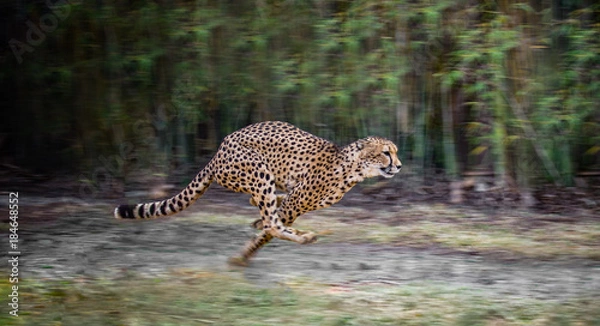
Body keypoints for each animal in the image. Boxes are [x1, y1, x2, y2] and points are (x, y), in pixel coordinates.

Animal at [114, 121, 400, 266]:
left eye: (395, 152)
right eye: (386, 152)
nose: (398, 166)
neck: (353, 169)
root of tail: (219, 149)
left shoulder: (295, 200)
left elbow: (271, 214)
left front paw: (254, 229)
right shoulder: (296, 201)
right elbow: (269, 229)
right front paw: (244, 254)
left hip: (261, 179)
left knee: (266, 209)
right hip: (259, 171)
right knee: (273, 222)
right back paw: (302, 236)